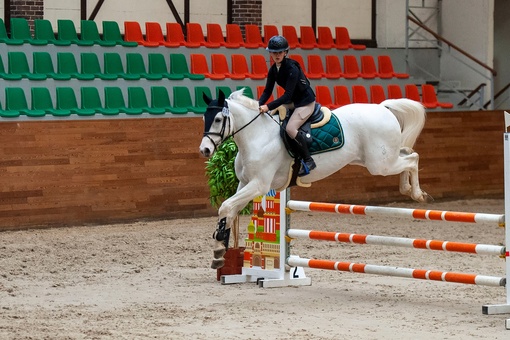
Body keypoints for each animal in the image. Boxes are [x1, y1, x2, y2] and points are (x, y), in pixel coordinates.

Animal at [199, 89, 430, 270]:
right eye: (204, 119)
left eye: (218, 119)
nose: (205, 150)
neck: (258, 136)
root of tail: (383, 108)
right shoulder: (245, 183)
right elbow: (229, 211)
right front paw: (219, 251)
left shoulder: (259, 185)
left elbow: (225, 207)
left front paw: (219, 249)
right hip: (380, 159)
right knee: (408, 153)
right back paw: (409, 189)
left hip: (380, 164)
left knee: (412, 159)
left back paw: (417, 193)